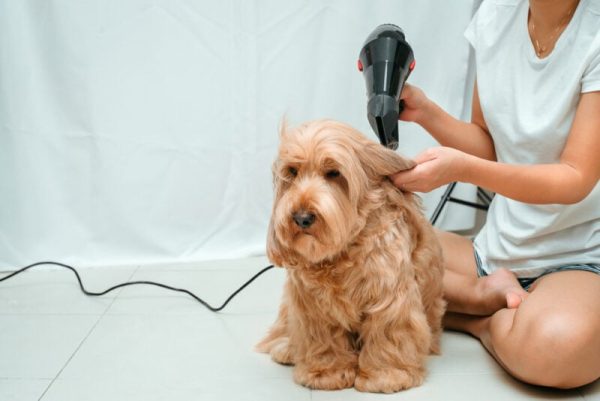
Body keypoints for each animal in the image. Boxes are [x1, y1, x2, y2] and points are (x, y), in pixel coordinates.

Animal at [258, 118, 446, 390]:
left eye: (333, 173)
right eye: (292, 172)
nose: (302, 218)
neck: (342, 253)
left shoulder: (390, 298)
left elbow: (388, 334)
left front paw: (386, 375)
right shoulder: (312, 306)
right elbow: (323, 339)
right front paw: (326, 372)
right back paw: (287, 348)